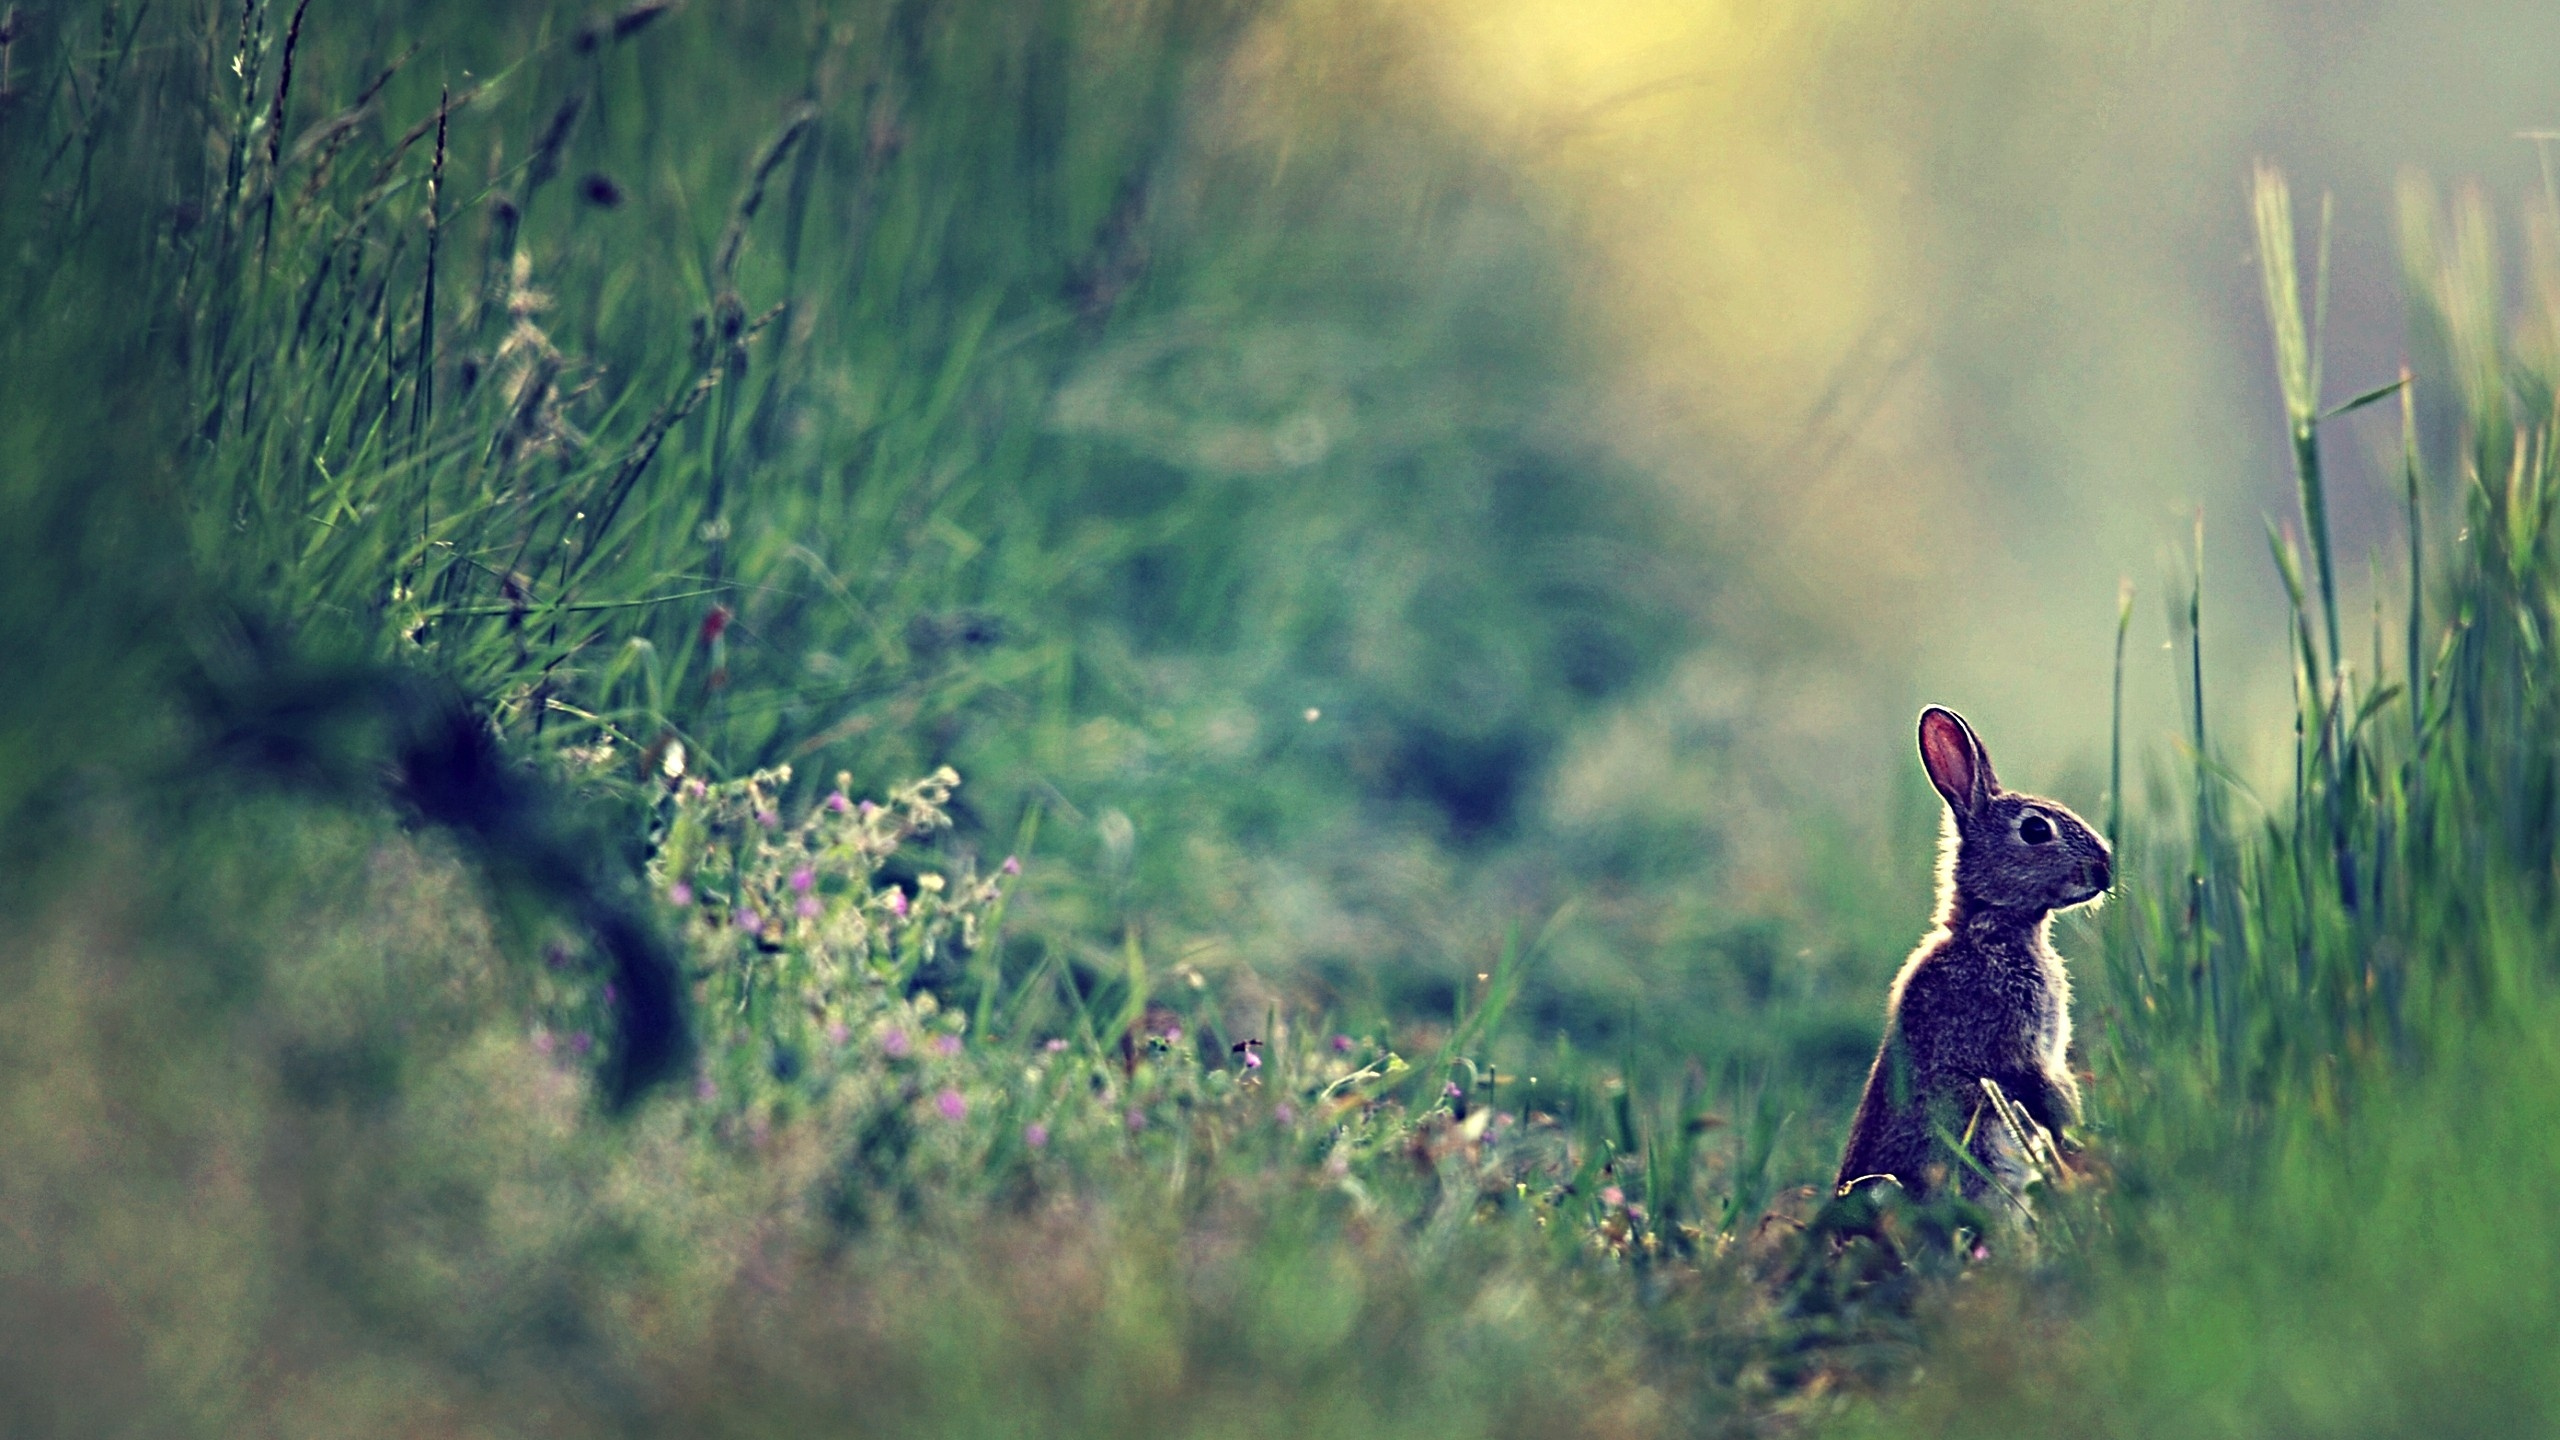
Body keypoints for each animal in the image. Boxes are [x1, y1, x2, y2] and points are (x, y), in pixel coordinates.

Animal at [1833, 706, 2112, 1218]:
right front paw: (2078, 1150)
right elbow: (2047, 1095)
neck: (1992, 927)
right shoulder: (2014, 1048)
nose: (2105, 869)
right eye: (2036, 830)